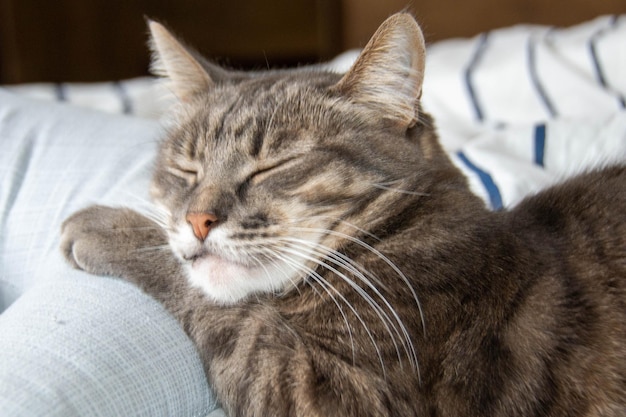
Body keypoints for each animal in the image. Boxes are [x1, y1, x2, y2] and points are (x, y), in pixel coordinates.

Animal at [59, 11, 624, 414]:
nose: (197, 220)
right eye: (187, 169)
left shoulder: (335, 392)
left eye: (273, 166)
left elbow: (235, 313)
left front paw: (107, 226)